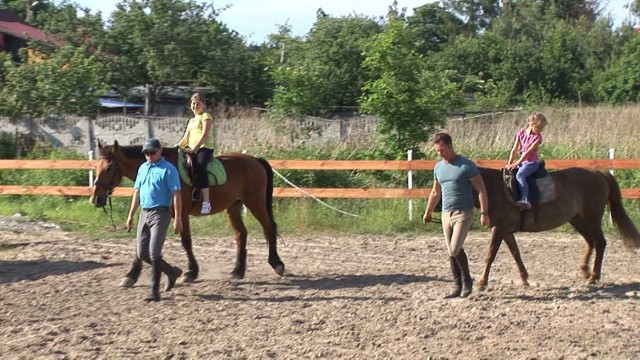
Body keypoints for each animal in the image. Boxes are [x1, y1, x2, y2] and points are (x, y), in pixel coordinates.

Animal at [90, 139, 284, 286]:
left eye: (109, 168)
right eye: (97, 167)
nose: (96, 198)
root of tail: (254, 160)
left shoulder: (181, 214)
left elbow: (186, 242)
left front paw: (191, 272)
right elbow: (140, 246)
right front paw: (130, 276)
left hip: (255, 202)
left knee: (269, 227)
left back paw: (277, 264)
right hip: (234, 206)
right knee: (241, 234)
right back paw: (238, 271)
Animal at [478, 167, 636, 288]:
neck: (495, 189)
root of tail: (598, 172)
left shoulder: (499, 228)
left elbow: (490, 255)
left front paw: (482, 282)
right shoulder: (505, 231)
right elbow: (516, 253)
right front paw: (524, 279)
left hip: (593, 219)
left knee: (600, 243)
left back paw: (594, 277)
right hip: (577, 219)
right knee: (590, 242)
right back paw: (585, 270)